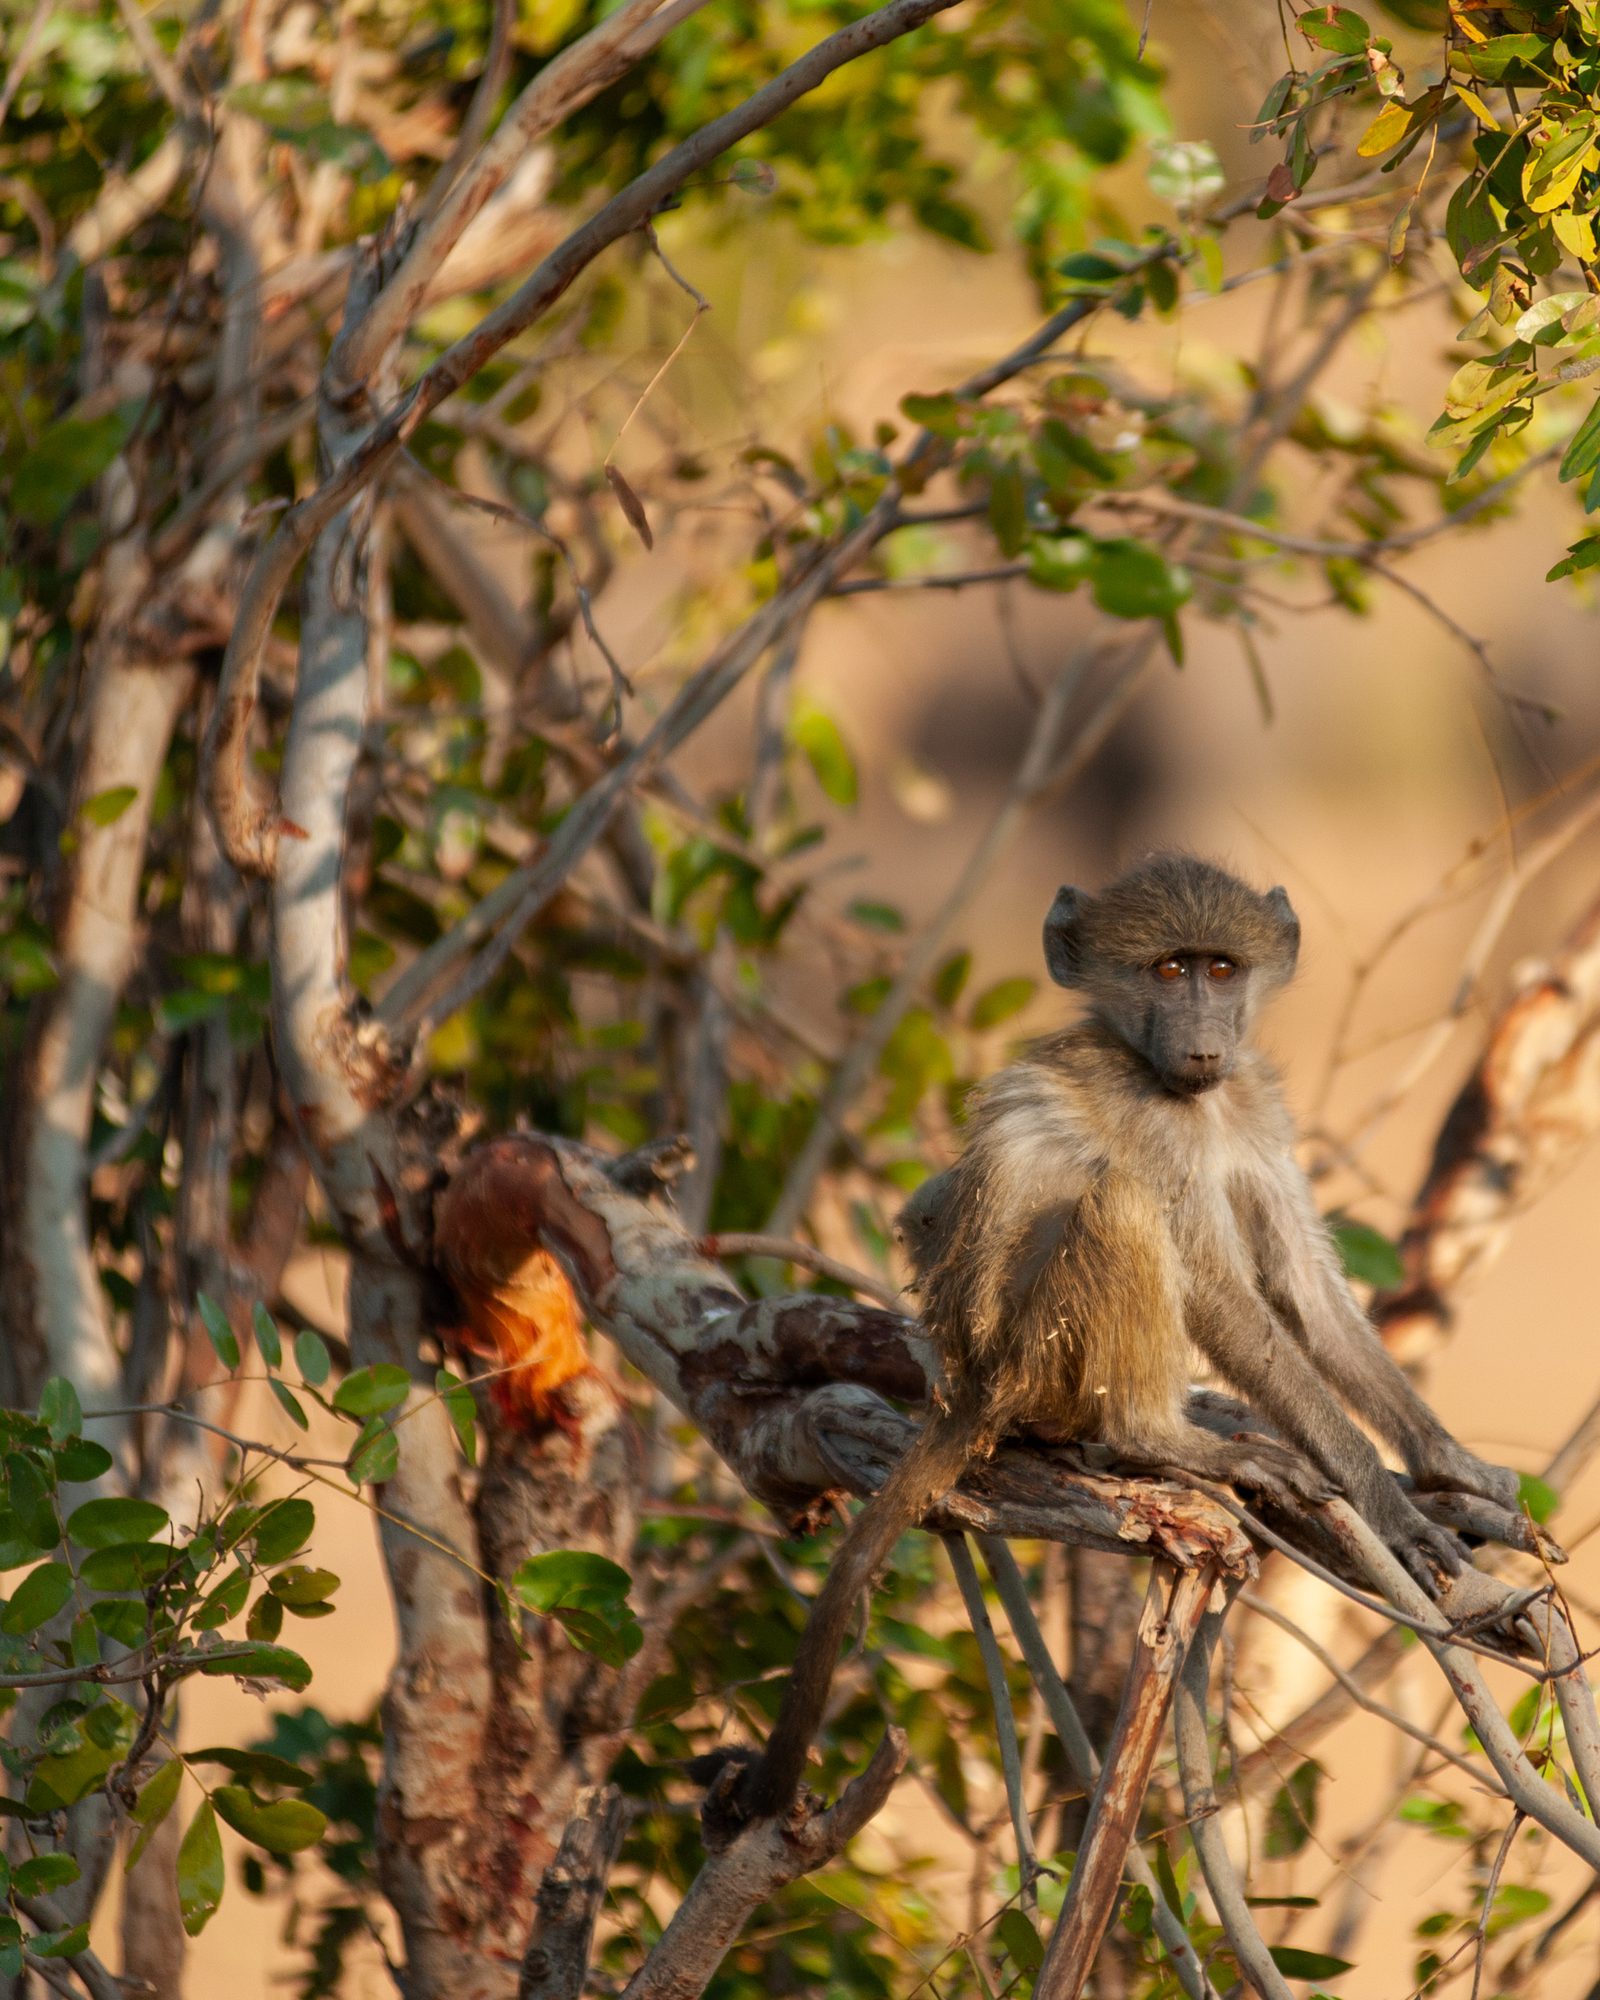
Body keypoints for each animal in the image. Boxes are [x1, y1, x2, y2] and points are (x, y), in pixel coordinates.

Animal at [737, 854, 1519, 1824]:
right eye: (1168, 971)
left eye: (1220, 968)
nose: (1205, 1045)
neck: (1192, 1096)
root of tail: (973, 1387)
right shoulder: (1161, 1130)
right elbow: (1221, 1290)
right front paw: (1392, 1511)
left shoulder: (1253, 1108)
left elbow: (1305, 1290)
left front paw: (1452, 1468)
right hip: (1041, 1360)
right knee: (1120, 1203)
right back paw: (1158, 1437)